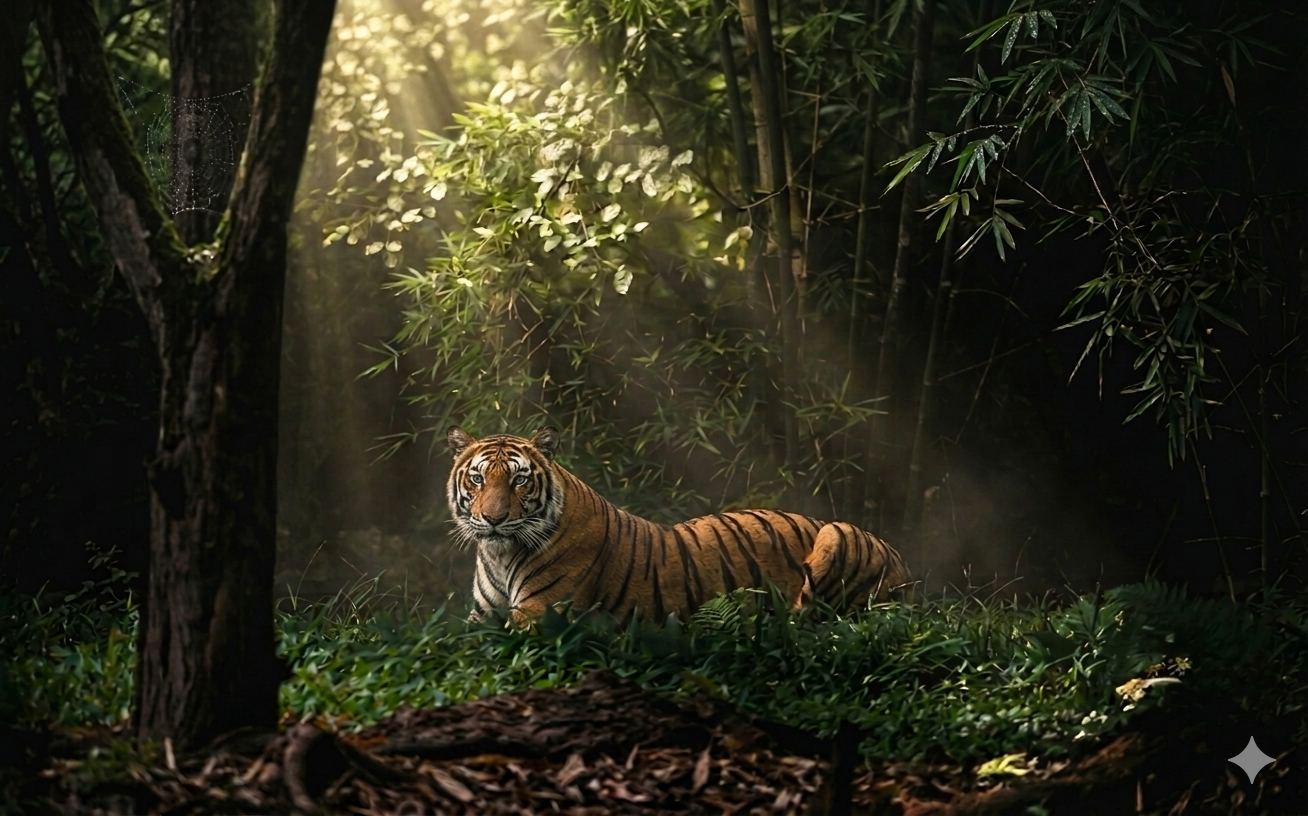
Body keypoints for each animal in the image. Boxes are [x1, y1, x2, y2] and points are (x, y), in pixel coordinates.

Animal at [447, 426, 913, 626]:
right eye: (478, 479)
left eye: (519, 480)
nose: (493, 519)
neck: (500, 552)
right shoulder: (480, 617)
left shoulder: (537, 615)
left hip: (836, 534)